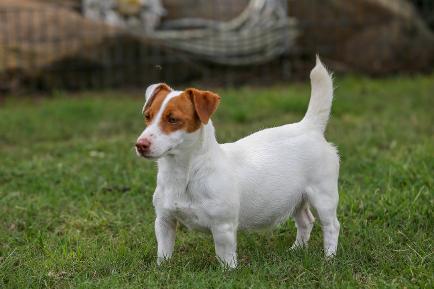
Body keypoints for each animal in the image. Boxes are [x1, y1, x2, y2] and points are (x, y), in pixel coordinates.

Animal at [136, 56, 340, 268]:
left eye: (173, 119)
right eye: (147, 116)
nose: (140, 144)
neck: (184, 173)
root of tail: (309, 126)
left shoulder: (222, 227)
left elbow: (225, 256)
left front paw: (228, 272)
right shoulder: (164, 221)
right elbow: (163, 251)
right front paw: (161, 269)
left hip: (323, 196)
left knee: (332, 226)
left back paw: (329, 258)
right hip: (296, 198)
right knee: (305, 221)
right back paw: (296, 250)